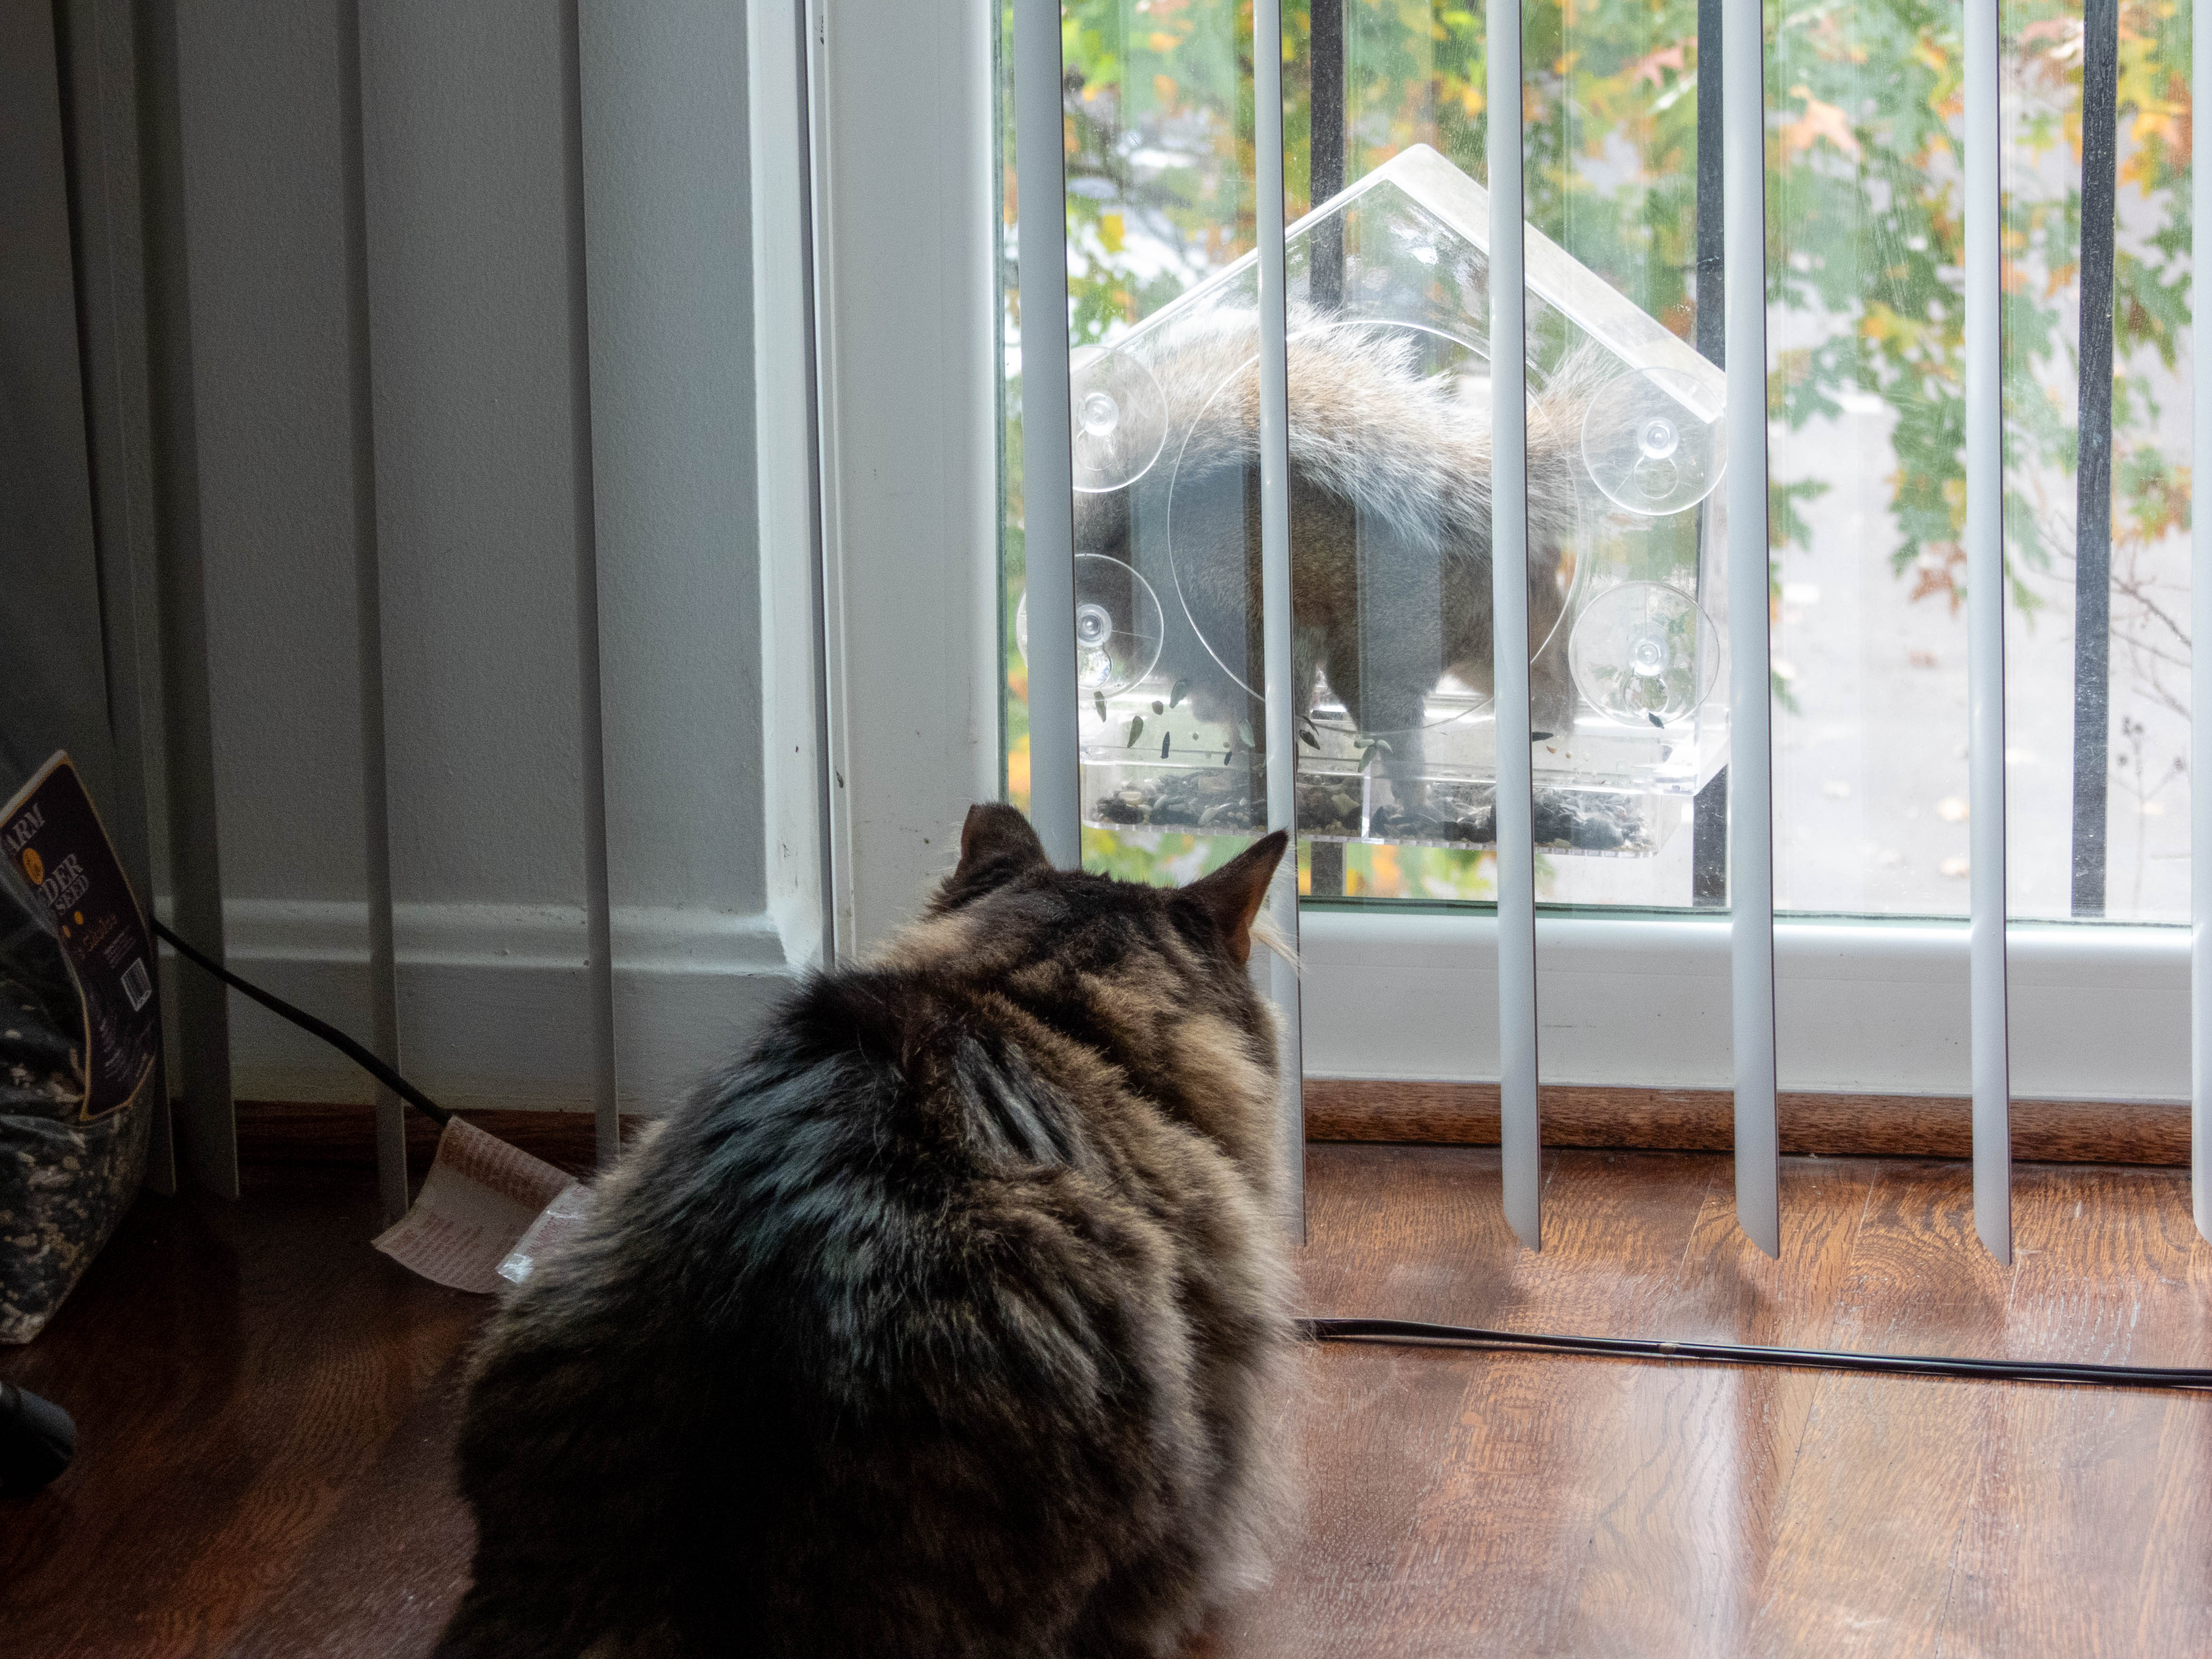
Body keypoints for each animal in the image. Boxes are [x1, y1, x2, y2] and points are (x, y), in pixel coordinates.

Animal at [1070, 311, 1600, 806]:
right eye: (1554, 645)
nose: (1565, 720)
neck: (1473, 590)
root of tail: (1110, 568)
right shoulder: (1397, 632)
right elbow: (1383, 713)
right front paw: (1418, 800)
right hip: (1242, 625)